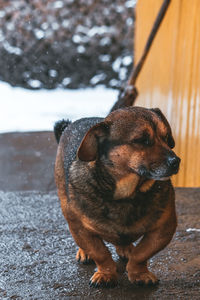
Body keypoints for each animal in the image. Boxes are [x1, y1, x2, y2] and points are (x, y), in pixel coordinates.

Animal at [54, 108, 180, 288]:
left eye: (166, 137)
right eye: (142, 140)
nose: (176, 161)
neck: (127, 194)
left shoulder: (165, 228)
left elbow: (142, 253)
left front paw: (139, 273)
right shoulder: (79, 228)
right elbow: (100, 253)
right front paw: (105, 273)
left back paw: (126, 248)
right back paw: (85, 252)